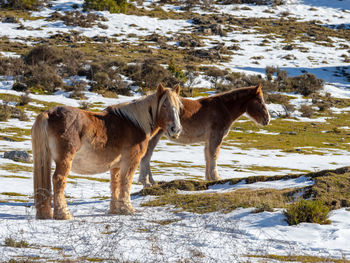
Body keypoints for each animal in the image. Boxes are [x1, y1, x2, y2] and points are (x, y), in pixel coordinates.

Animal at [31, 85, 182, 221]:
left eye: (179, 107)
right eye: (164, 105)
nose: (176, 129)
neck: (135, 123)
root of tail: (49, 114)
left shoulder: (116, 165)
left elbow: (115, 184)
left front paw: (115, 210)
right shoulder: (131, 161)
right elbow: (126, 182)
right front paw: (127, 209)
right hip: (64, 160)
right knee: (58, 181)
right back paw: (64, 214)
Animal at [139, 84, 270, 188]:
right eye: (259, 100)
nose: (267, 119)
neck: (224, 108)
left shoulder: (209, 139)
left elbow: (208, 156)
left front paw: (208, 178)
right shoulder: (216, 137)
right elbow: (214, 155)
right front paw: (216, 177)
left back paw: (151, 181)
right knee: (147, 155)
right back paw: (146, 182)